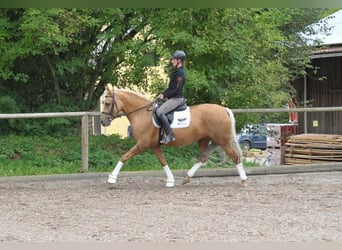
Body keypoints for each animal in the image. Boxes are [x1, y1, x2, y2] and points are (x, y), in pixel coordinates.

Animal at [100, 88, 247, 188]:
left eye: (107, 103)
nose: (103, 121)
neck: (141, 113)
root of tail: (223, 109)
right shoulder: (154, 145)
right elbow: (163, 161)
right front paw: (170, 180)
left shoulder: (142, 144)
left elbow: (124, 156)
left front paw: (112, 178)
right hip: (205, 139)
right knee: (203, 158)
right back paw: (187, 178)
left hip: (223, 140)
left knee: (235, 156)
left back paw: (244, 180)